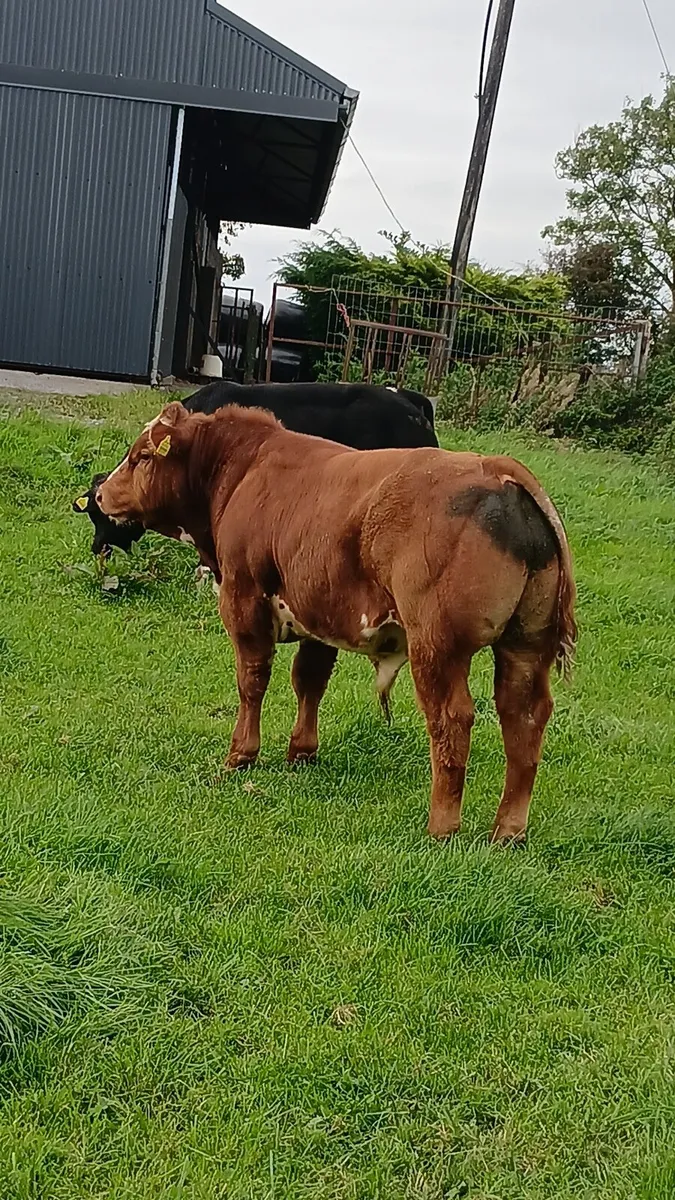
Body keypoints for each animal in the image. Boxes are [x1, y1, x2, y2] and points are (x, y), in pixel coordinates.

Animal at [95, 402, 576, 844]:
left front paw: (241, 756)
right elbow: (310, 680)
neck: (243, 469)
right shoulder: (319, 612)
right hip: (526, 645)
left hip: (437, 646)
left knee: (451, 719)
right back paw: (509, 831)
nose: (100, 495)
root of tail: (495, 471)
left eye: (141, 456)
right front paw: (301, 753)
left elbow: (252, 680)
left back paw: (441, 827)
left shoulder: (244, 599)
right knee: (524, 717)